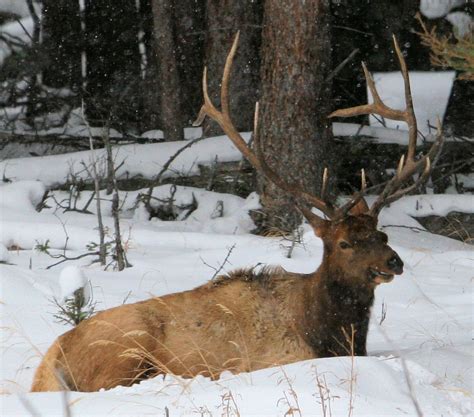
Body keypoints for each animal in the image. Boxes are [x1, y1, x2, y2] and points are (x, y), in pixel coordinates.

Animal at [32, 32, 440, 390]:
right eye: (344, 243)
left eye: (382, 234)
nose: (393, 261)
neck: (329, 332)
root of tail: (49, 360)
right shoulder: (275, 358)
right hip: (125, 352)